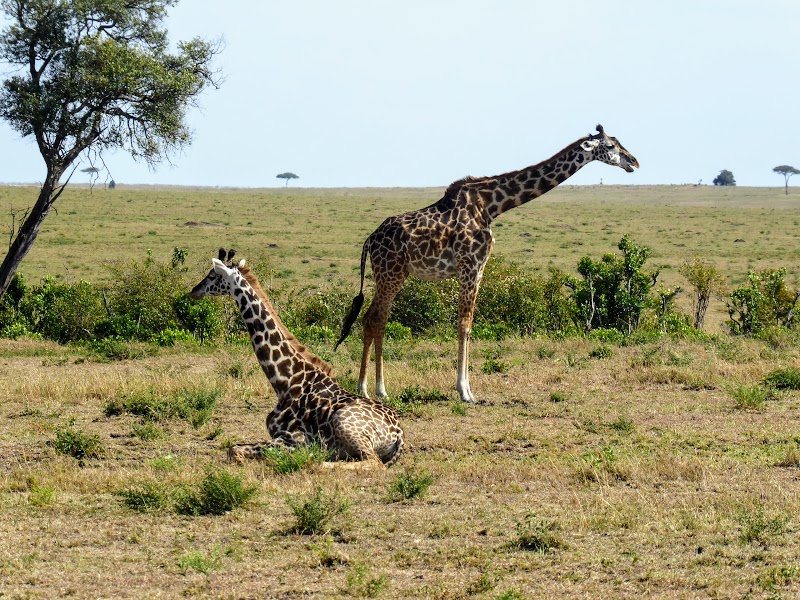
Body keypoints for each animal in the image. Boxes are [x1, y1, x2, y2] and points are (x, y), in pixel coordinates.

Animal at [189, 251, 406, 466]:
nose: (193, 291)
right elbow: (235, 448)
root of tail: (399, 433)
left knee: (371, 462)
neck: (286, 382)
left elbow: (235, 450)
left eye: (212, 276)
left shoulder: (298, 439)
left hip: (344, 422)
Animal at [334, 123, 640, 400]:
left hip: (394, 274)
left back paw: (373, 388)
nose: (634, 162)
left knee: (374, 319)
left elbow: (468, 324)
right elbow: (464, 325)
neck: (492, 206)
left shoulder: (479, 267)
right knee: (375, 320)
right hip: (391, 273)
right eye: (610, 146)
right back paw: (370, 389)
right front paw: (465, 391)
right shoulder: (470, 265)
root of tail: (369, 240)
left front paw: (467, 388)